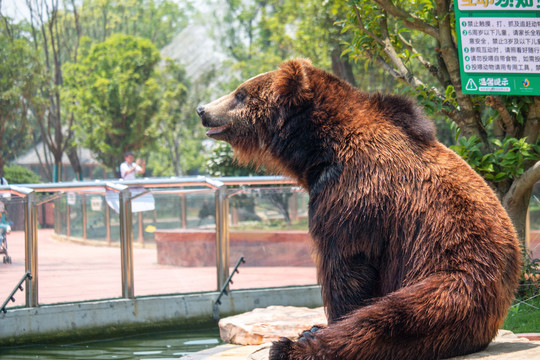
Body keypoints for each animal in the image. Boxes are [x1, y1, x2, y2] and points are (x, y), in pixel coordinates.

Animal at [196, 59, 520, 360]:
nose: (202, 109)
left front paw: (322, 324)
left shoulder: (352, 191)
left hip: (453, 279)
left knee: (388, 319)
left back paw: (295, 345)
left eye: (240, 94)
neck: (320, 150)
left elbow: (345, 264)